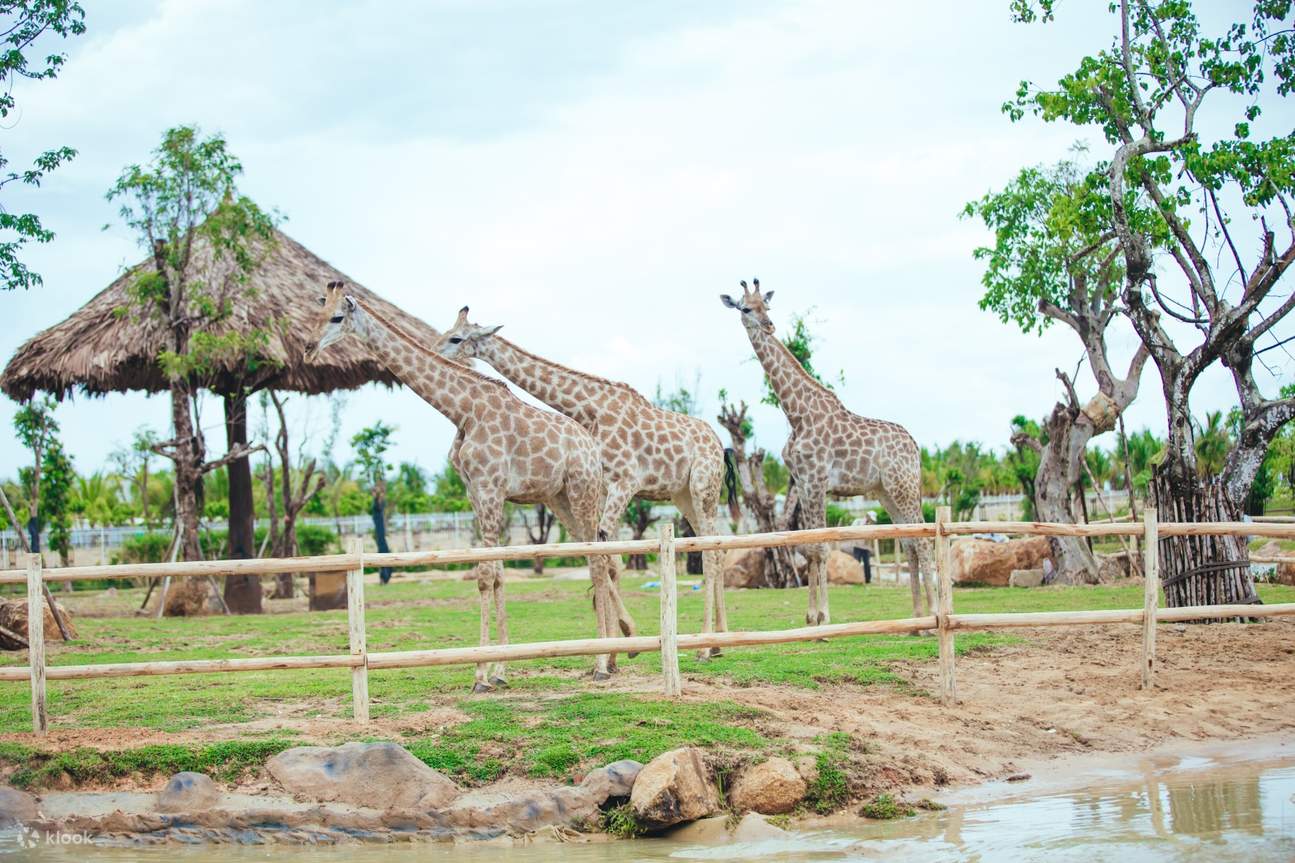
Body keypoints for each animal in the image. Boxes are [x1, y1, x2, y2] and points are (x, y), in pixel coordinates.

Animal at [305, 281, 624, 684]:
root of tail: (590, 447)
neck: (463, 411)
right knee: (599, 556)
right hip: (560, 498)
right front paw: (500, 669)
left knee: (598, 560)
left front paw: (481, 674)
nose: (308, 348)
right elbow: (498, 572)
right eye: (315, 314)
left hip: (583, 491)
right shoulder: (475, 492)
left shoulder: (490, 488)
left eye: (336, 317)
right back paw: (611, 656)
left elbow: (485, 574)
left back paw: (601, 663)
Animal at [437, 307, 735, 653]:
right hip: (683, 494)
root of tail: (719, 445)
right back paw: (719, 638)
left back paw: (706, 645)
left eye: (456, 338)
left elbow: (604, 547)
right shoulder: (603, 487)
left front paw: (617, 640)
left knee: (711, 550)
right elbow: (605, 552)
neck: (590, 409)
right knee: (716, 544)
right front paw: (615, 640)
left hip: (704, 486)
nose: (434, 349)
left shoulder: (625, 481)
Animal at [720, 278, 932, 621]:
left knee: (923, 540)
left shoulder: (817, 479)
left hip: (904, 486)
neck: (796, 413)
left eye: (767, 305)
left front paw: (823, 619)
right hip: (885, 490)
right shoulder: (804, 482)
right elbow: (809, 546)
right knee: (909, 541)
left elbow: (819, 546)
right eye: (746, 308)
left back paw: (936, 614)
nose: (768, 325)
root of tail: (915, 447)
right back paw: (917, 619)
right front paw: (811, 618)